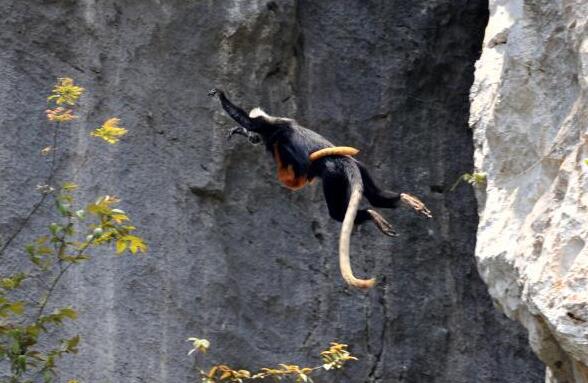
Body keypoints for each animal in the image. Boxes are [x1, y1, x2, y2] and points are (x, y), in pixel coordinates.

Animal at [209, 88, 430, 290]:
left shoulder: (270, 126)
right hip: (361, 168)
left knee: (337, 212)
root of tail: (342, 159)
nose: (251, 138)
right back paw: (399, 202)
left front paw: (222, 97)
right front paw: (240, 130)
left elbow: (249, 121)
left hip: (333, 175)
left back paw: (370, 213)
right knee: (375, 197)